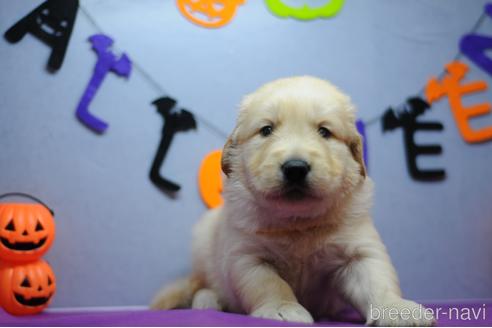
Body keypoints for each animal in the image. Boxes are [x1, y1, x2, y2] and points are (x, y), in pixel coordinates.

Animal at [150, 76, 434, 326]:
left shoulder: (359, 250)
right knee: (202, 284)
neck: (298, 223)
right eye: (266, 130)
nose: (295, 168)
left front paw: (397, 309)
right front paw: (283, 309)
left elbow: (377, 280)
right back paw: (208, 300)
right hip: (202, 248)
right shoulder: (247, 256)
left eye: (324, 131)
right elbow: (271, 284)